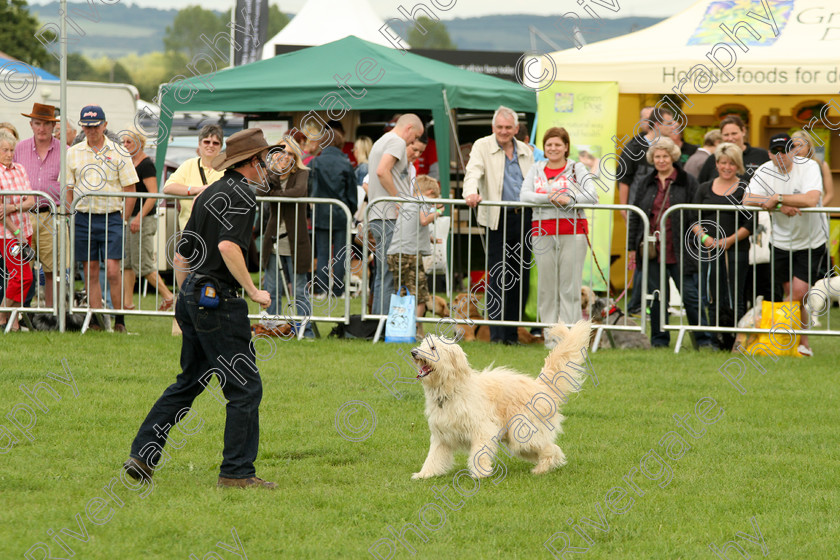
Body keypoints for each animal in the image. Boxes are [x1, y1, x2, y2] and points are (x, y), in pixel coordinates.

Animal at [410, 322, 592, 480]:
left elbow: (479, 453)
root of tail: (539, 386)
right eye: (423, 345)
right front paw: (425, 474)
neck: (452, 390)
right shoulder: (441, 435)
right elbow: (434, 457)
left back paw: (542, 468)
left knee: (551, 448)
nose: (413, 352)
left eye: (433, 348)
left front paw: (480, 474)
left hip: (523, 434)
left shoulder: (483, 430)